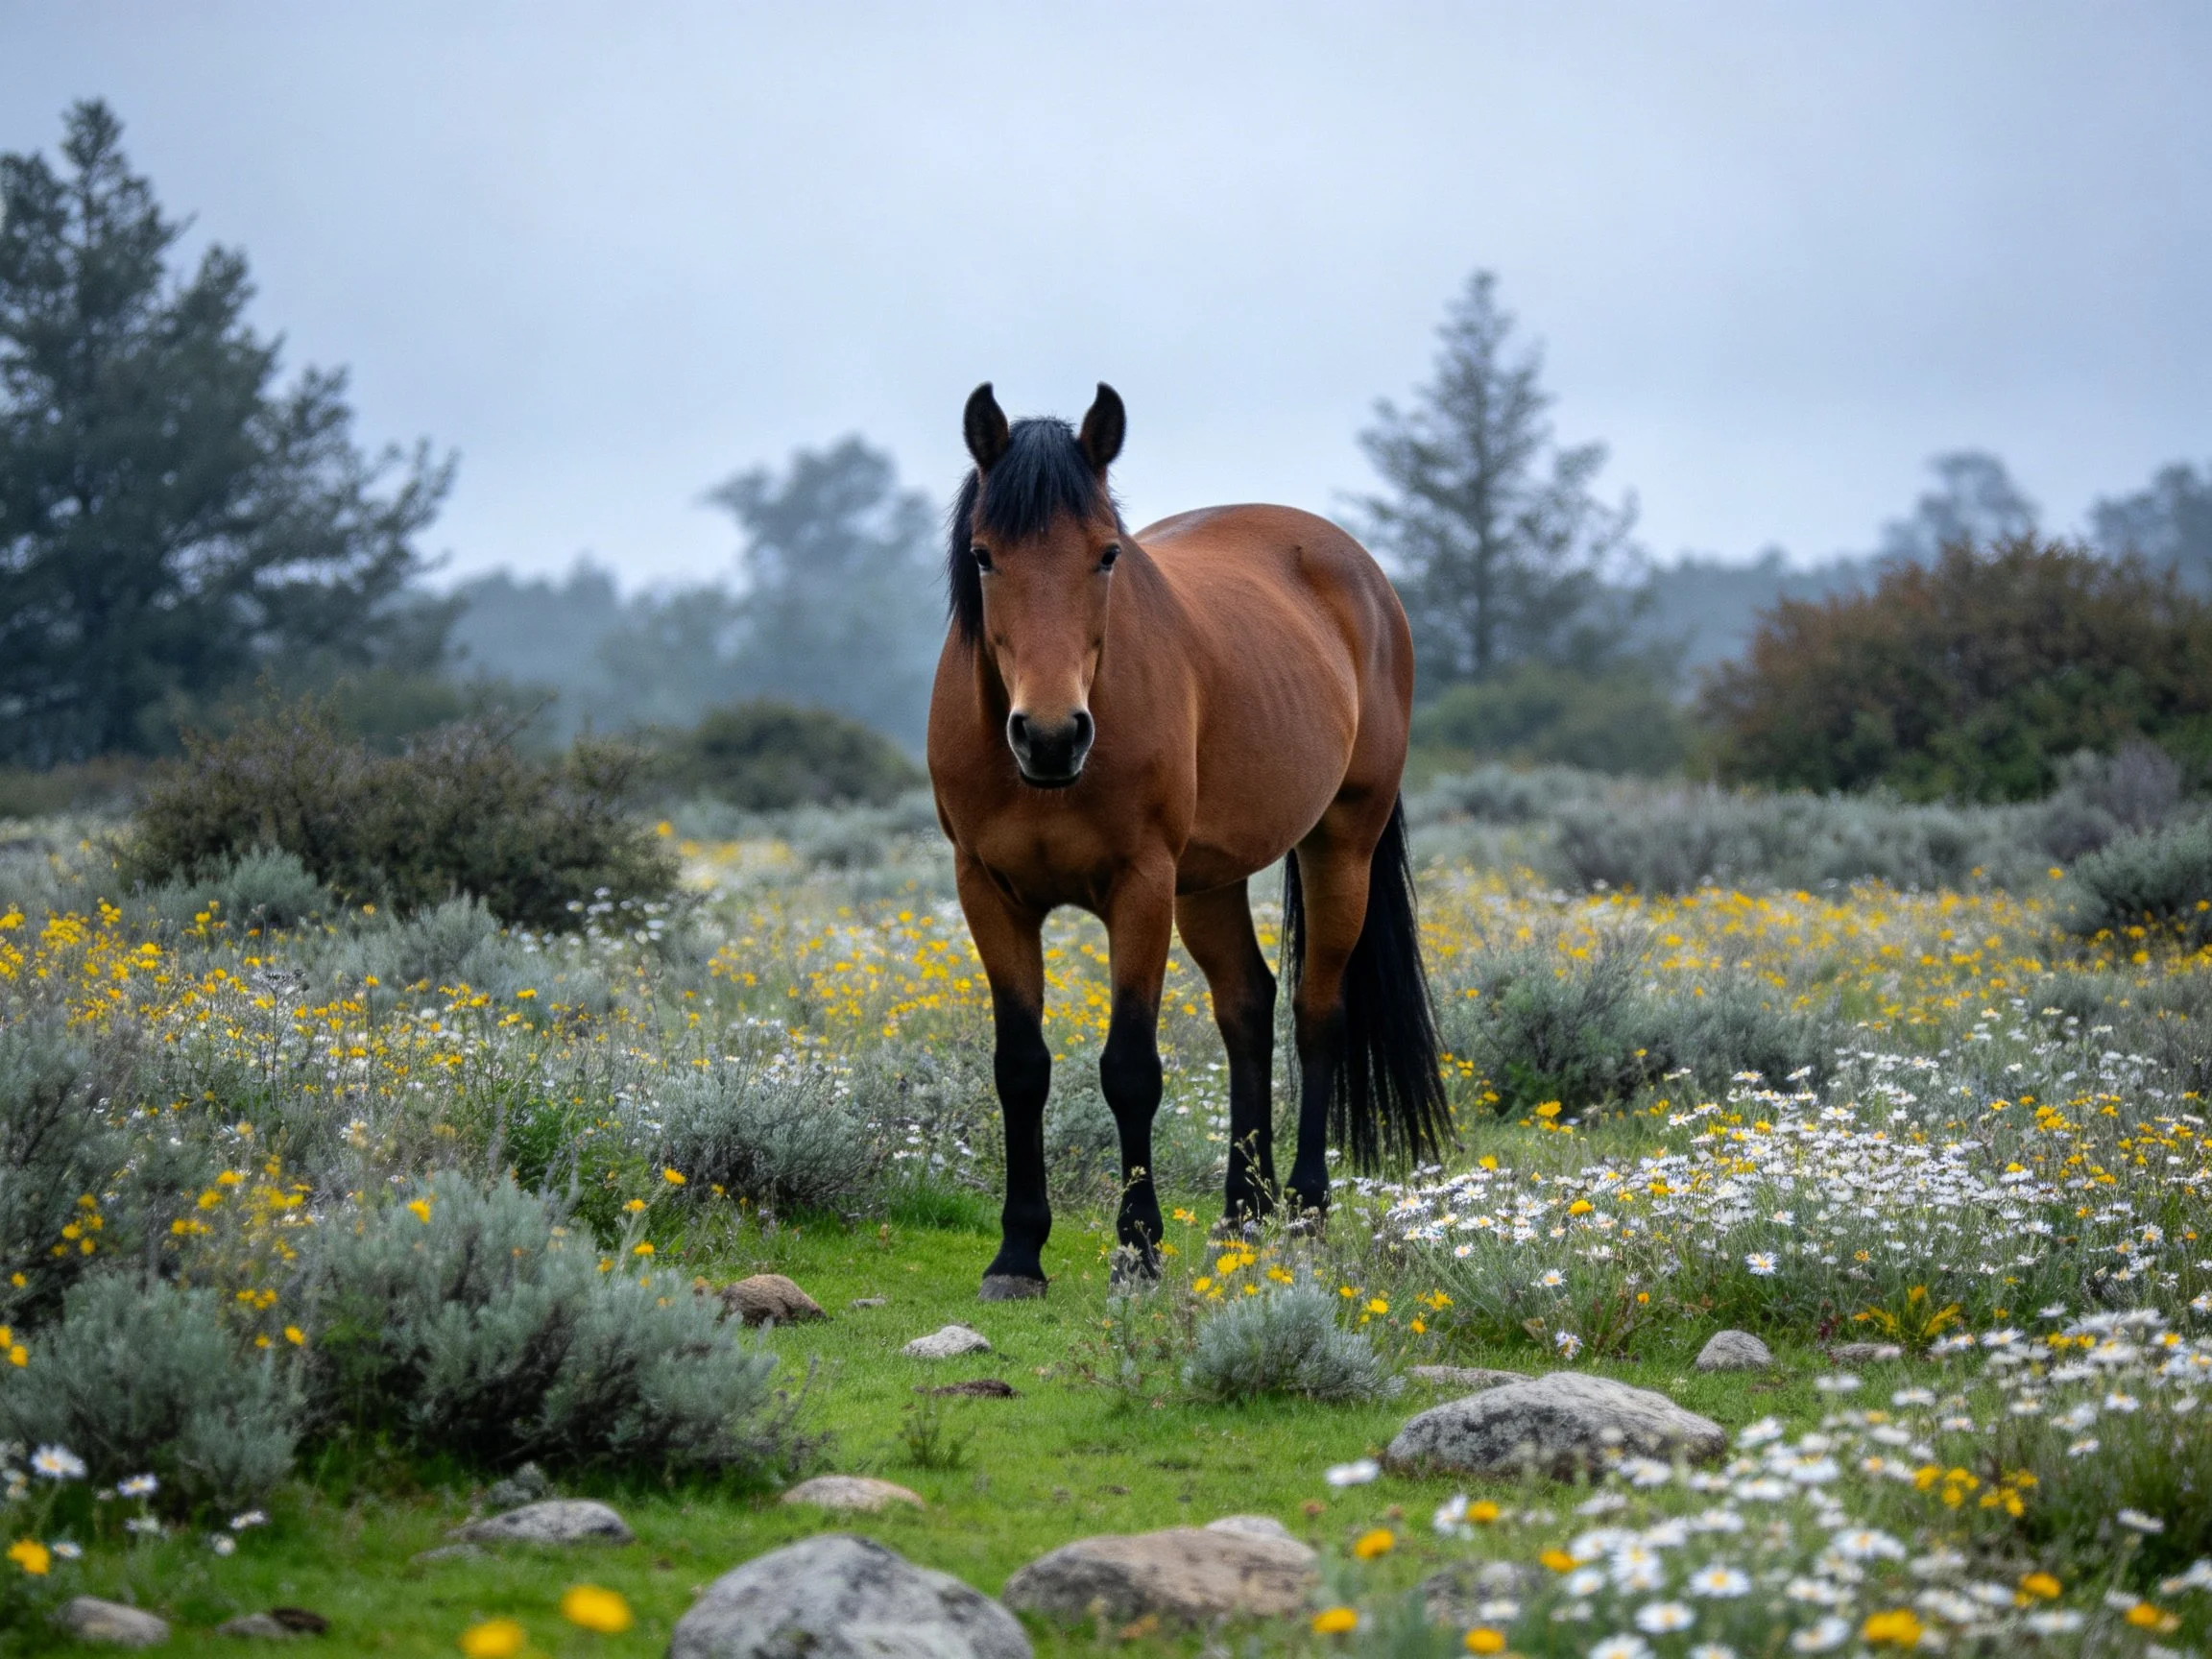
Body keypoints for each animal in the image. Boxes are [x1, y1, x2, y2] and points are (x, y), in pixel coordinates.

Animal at [926, 382, 1449, 1299]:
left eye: (1106, 555)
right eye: (984, 556)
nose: (1052, 736)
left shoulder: (1140, 888)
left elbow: (1130, 1070)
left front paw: (1137, 1249)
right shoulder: (987, 890)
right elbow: (1020, 1066)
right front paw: (1018, 1253)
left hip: (1339, 842)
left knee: (1317, 1014)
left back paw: (1304, 1212)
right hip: (1208, 882)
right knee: (1248, 1006)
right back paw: (1243, 1215)